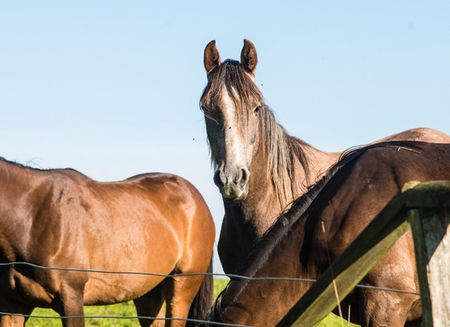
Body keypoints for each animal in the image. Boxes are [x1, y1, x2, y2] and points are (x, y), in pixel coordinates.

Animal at [0, 158, 215, 326]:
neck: (33, 217)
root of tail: (196, 198)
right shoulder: (13, 306)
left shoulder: (71, 300)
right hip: (148, 292)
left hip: (182, 286)